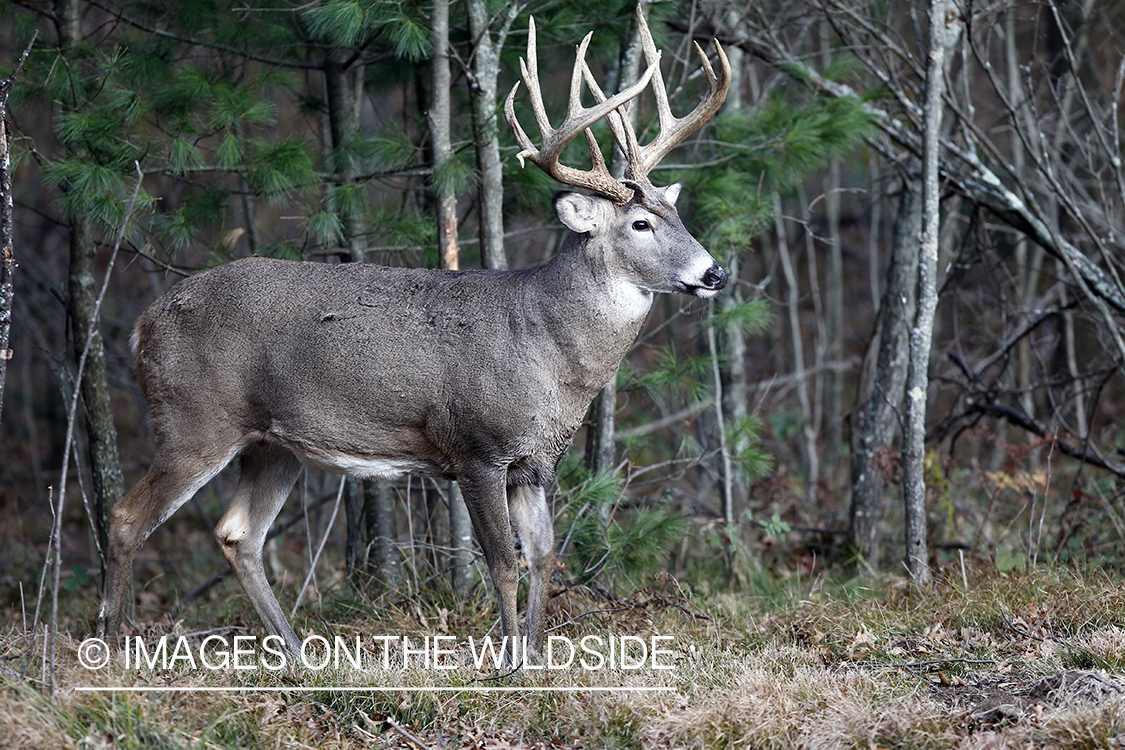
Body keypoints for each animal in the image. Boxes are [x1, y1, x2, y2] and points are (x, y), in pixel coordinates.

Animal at [96, 10, 729, 670]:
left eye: (677, 216)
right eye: (640, 223)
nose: (715, 273)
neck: (549, 349)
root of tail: (145, 321)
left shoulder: (534, 463)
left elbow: (544, 556)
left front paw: (535, 659)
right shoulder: (475, 447)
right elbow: (503, 564)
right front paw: (507, 668)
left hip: (272, 444)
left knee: (238, 533)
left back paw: (298, 655)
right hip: (194, 419)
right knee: (125, 515)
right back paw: (112, 647)